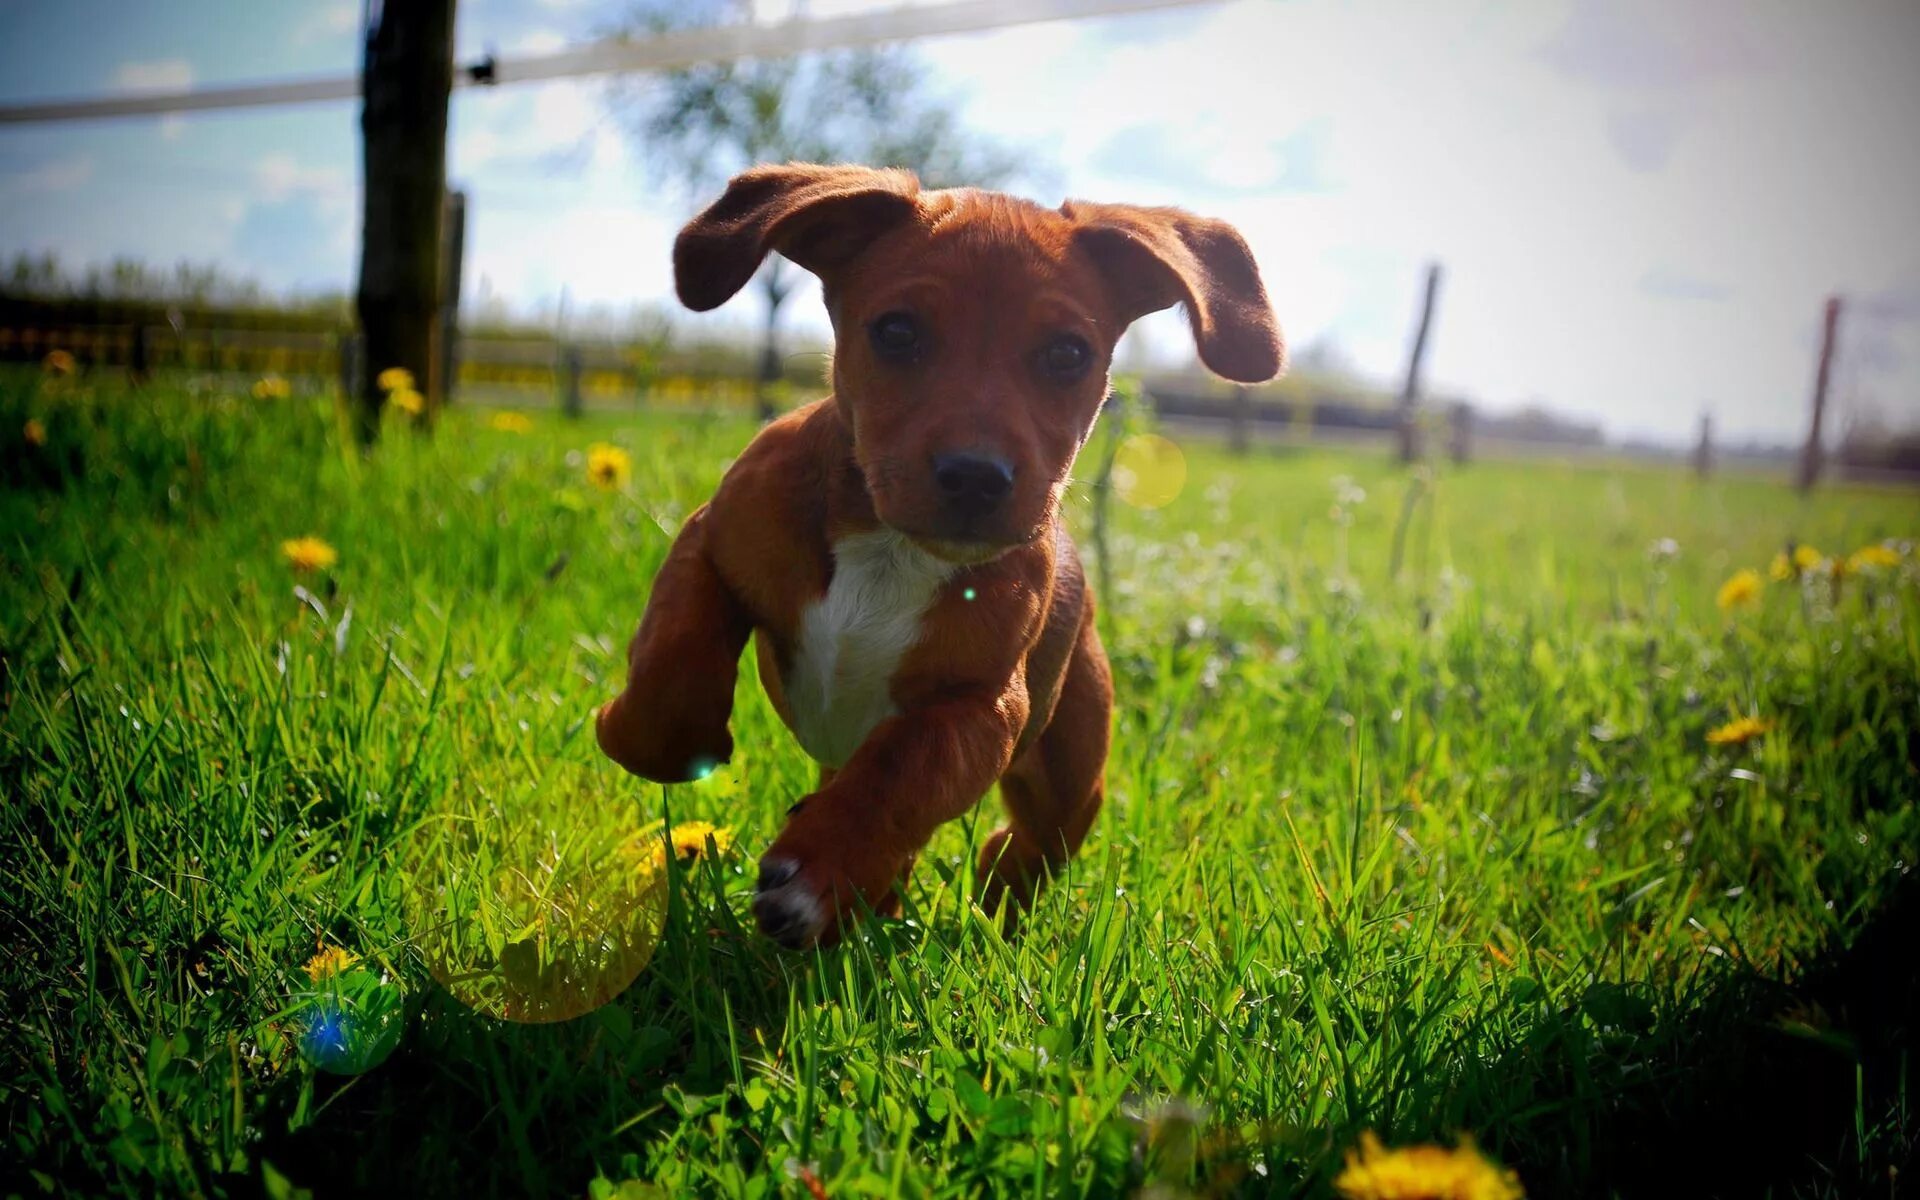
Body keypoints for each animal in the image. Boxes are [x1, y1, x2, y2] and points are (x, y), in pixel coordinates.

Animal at [599, 161, 1282, 944]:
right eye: (897, 332)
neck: (891, 548)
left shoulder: (983, 707)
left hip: (1070, 767)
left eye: (1068, 354)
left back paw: (979, 894)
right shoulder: (711, 539)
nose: (976, 475)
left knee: (1034, 838)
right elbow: (671, 673)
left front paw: (819, 872)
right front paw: (629, 728)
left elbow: (903, 768)